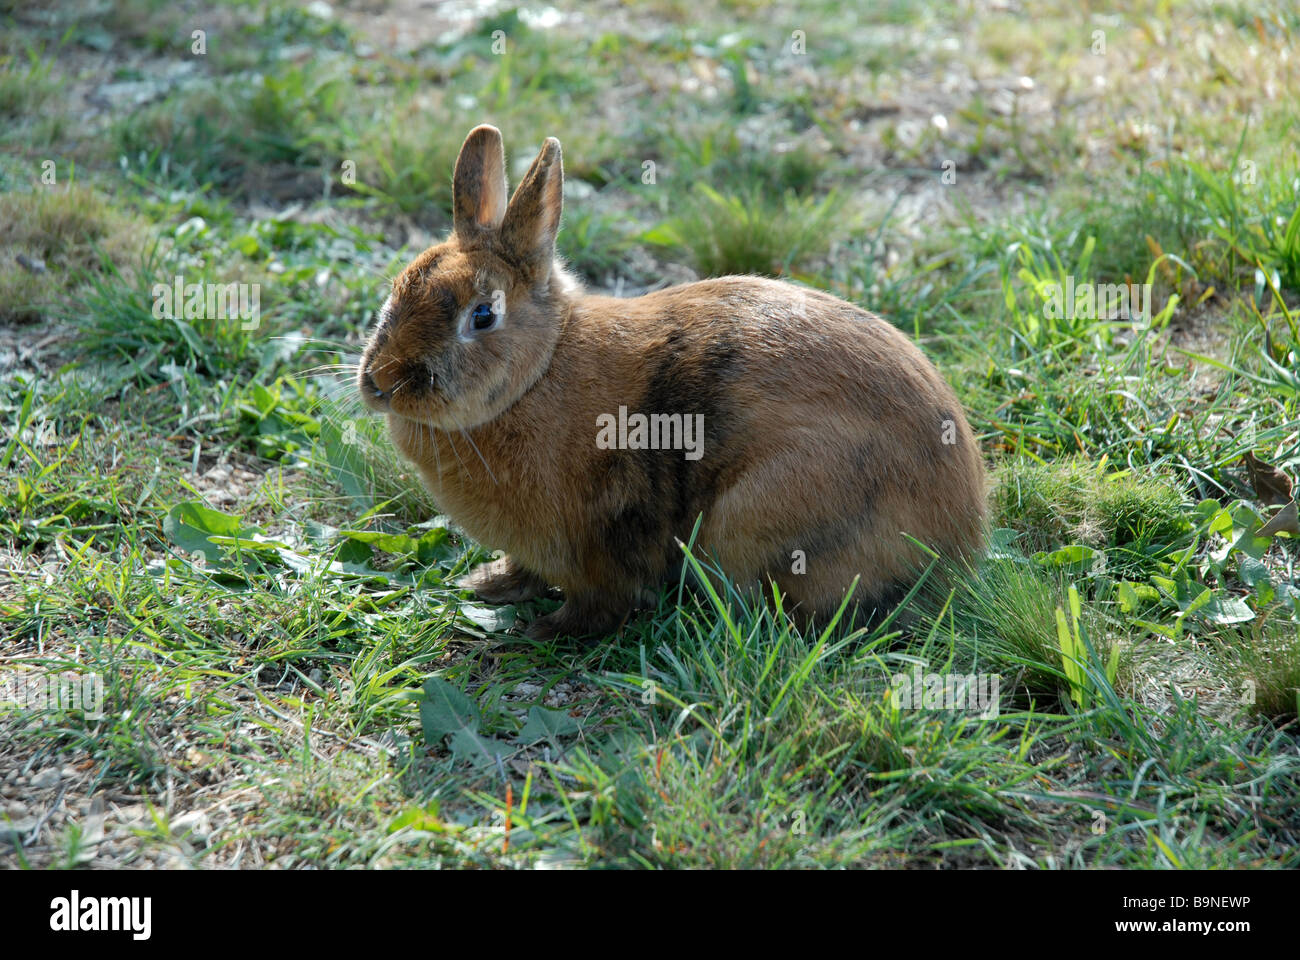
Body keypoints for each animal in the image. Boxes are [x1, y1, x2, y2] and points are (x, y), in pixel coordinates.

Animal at [356, 123, 982, 640]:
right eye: (400, 286)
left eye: (482, 316)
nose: (381, 383)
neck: (540, 372)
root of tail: (962, 538)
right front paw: (487, 584)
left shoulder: (598, 541)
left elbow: (600, 601)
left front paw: (546, 631)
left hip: (757, 517)